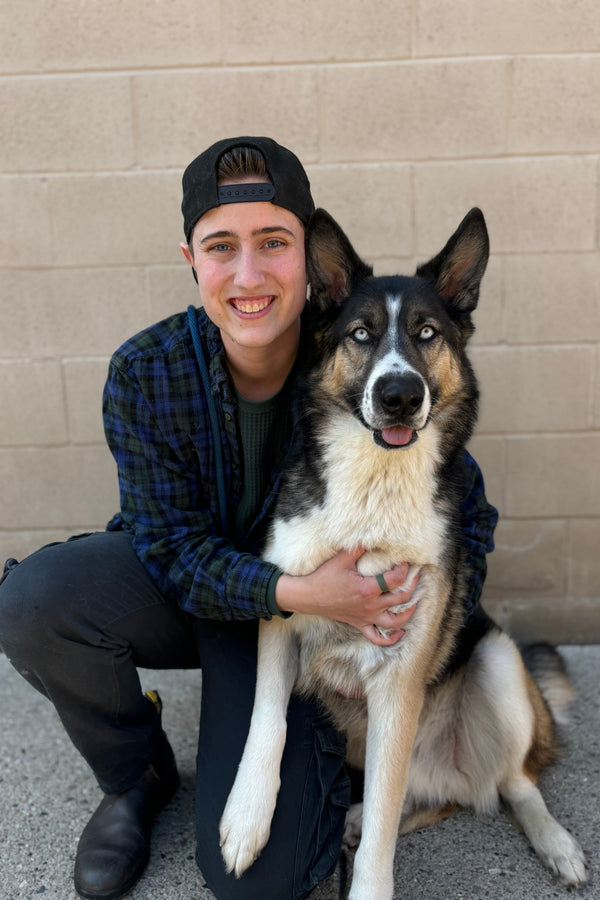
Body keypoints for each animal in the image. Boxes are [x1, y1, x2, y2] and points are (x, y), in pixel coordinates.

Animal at [218, 207, 588, 896]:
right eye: (361, 334)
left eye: (426, 333)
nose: (399, 395)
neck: (376, 488)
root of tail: (451, 770)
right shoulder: (279, 616)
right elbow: (266, 721)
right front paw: (247, 819)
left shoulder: (398, 680)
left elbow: (385, 834)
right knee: (437, 799)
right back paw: (353, 818)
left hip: (496, 656)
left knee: (511, 784)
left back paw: (556, 845)